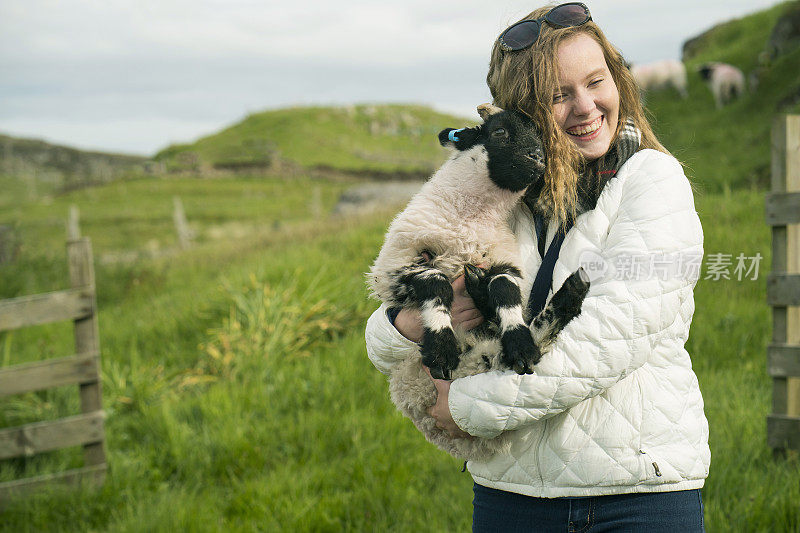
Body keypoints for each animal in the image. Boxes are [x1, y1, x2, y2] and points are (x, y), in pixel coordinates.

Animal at [368, 103, 588, 458]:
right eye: (499, 131)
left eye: (541, 135)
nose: (537, 157)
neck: (471, 220)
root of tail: (467, 446)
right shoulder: (394, 268)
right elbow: (437, 284)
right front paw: (441, 345)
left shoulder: (504, 260)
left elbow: (504, 291)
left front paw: (518, 341)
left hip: (478, 358)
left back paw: (566, 295)